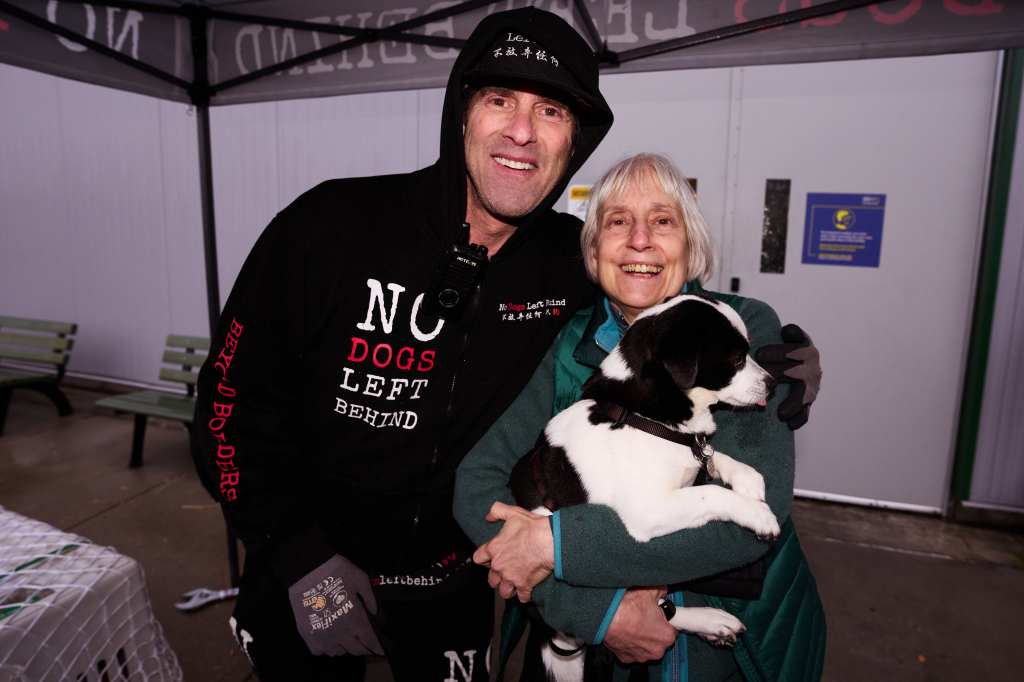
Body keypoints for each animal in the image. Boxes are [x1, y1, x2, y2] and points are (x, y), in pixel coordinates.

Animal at [512, 292, 782, 679]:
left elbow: (711, 454)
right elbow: (710, 492)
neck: (645, 416)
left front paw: (746, 478)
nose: (774, 384)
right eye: (736, 359)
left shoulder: (693, 453)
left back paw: (709, 622)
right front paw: (757, 515)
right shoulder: (649, 511)